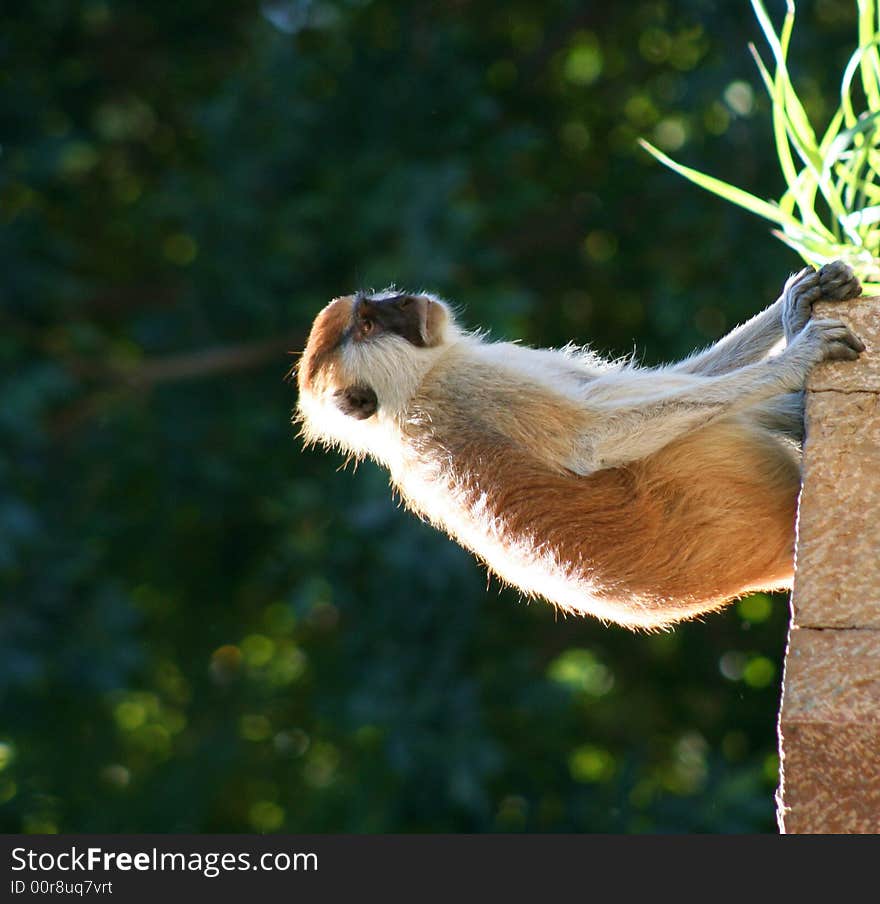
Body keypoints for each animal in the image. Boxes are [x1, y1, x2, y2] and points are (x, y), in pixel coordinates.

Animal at [298, 262, 868, 628]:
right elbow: (593, 439)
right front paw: (799, 348)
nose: (403, 300)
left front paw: (796, 303)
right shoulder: (468, 390)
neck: (406, 399)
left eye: (372, 307)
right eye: (368, 324)